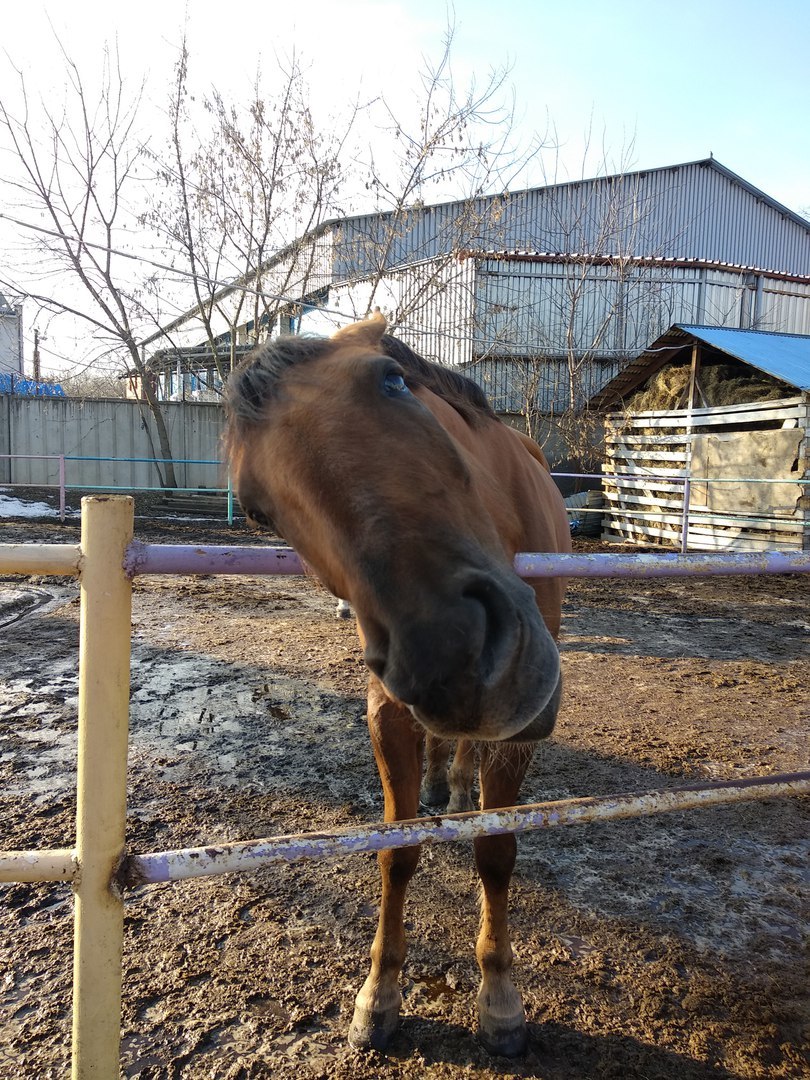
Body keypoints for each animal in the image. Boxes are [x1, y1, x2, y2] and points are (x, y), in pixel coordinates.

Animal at [225, 313, 574, 1054]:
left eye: (391, 383)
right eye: (260, 509)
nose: (454, 658)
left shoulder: (519, 730)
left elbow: (496, 850)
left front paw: (500, 999)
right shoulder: (387, 708)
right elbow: (395, 850)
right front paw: (378, 995)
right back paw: (444, 780)